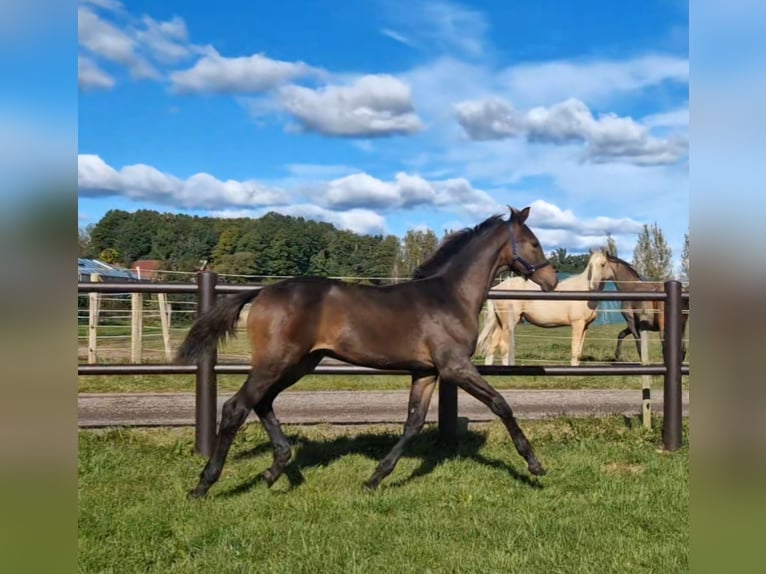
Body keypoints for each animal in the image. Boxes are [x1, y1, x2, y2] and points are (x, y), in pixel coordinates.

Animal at [177, 207, 560, 500]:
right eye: (534, 242)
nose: (552, 280)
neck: (450, 296)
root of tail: (262, 292)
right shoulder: (455, 367)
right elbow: (501, 404)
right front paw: (535, 465)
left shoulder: (426, 372)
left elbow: (413, 423)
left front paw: (375, 478)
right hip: (276, 362)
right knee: (236, 408)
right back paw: (204, 485)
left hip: (299, 364)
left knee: (263, 402)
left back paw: (276, 469)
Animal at [476, 249, 616, 366]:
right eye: (591, 265)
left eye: (603, 264)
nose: (593, 285)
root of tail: (497, 288)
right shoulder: (577, 324)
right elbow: (575, 352)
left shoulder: (585, 326)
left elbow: (579, 352)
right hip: (509, 323)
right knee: (504, 346)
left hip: (500, 322)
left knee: (492, 345)